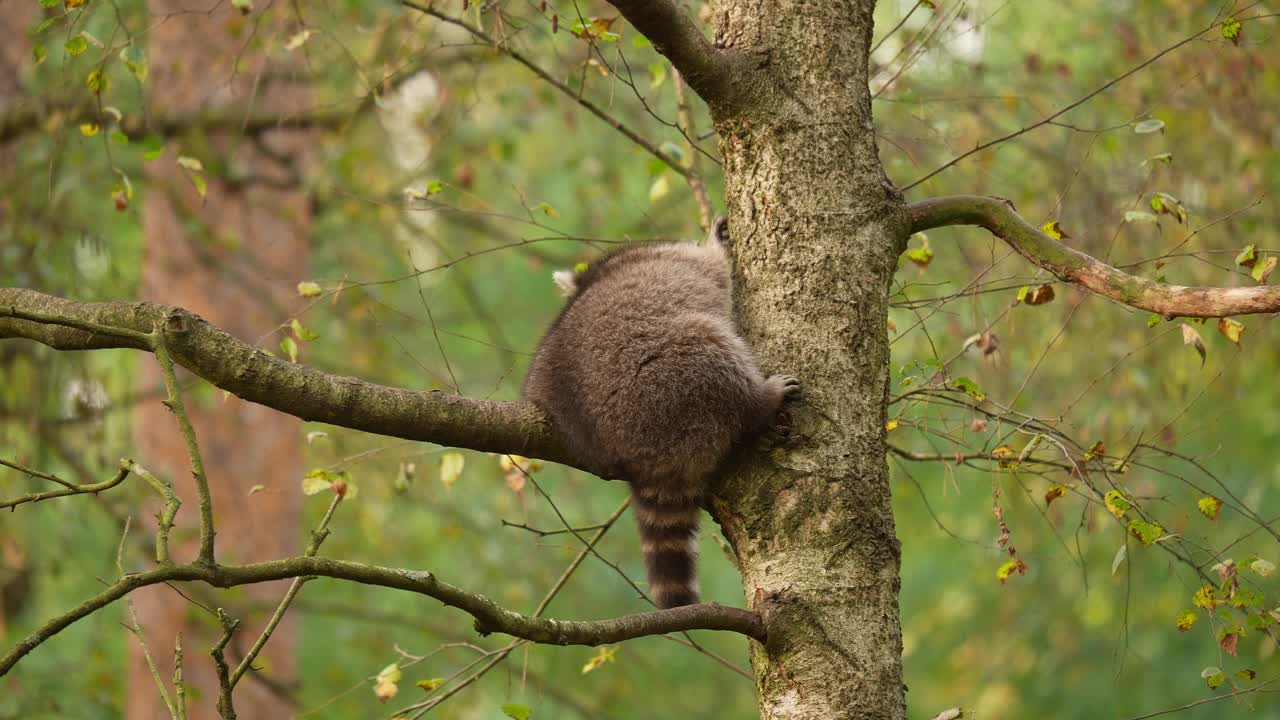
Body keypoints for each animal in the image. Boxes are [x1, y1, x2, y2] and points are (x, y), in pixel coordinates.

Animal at [522, 219, 798, 604]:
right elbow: (715, 268)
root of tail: (639, 458)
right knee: (712, 350)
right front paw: (717, 242)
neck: (606, 268)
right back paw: (759, 402)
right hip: (675, 381)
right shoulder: (680, 260)